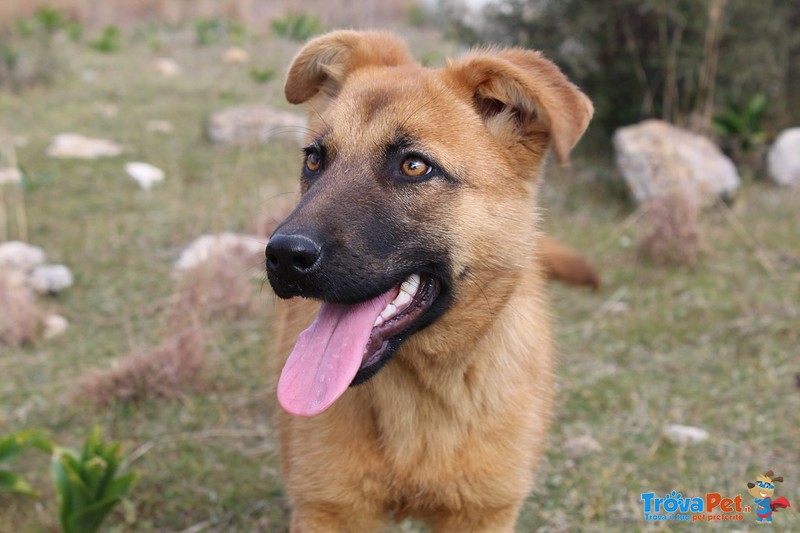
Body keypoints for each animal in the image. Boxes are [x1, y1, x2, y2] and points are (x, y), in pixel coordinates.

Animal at [268, 30, 592, 532]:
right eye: (315, 159)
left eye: (414, 166)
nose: (282, 255)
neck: (421, 390)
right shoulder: (329, 509)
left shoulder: (483, 511)